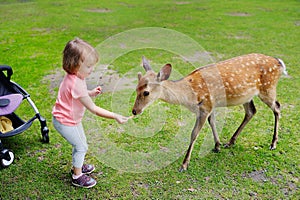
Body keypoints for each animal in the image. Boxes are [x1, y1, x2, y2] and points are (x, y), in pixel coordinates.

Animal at [132, 53, 288, 172]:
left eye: (146, 92)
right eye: (136, 88)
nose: (134, 111)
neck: (189, 96)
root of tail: (279, 63)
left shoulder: (205, 106)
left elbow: (194, 133)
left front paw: (184, 165)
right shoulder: (210, 106)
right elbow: (212, 122)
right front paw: (217, 145)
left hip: (268, 89)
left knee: (277, 107)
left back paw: (273, 143)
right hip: (247, 96)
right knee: (251, 111)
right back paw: (230, 142)